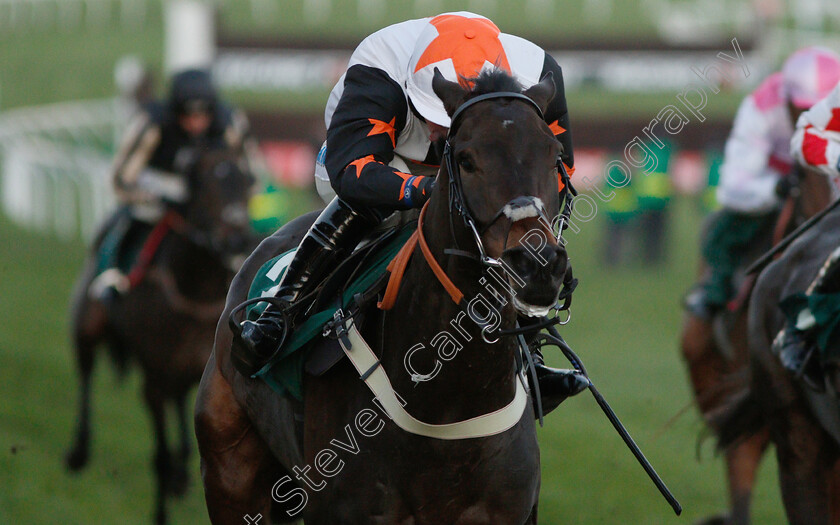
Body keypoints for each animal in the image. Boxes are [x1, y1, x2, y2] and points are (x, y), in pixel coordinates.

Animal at [65, 149, 256, 520]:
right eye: (206, 182)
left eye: (248, 180)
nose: (237, 240)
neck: (195, 290)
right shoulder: (153, 378)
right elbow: (160, 455)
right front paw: (161, 512)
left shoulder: (202, 369)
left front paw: (183, 478)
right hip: (87, 320)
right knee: (86, 368)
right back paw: (79, 451)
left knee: (178, 401)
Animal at [194, 70, 568, 524]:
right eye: (466, 158)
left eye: (554, 156)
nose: (537, 264)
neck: (449, 403)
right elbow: (355, 169)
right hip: (230, 470)